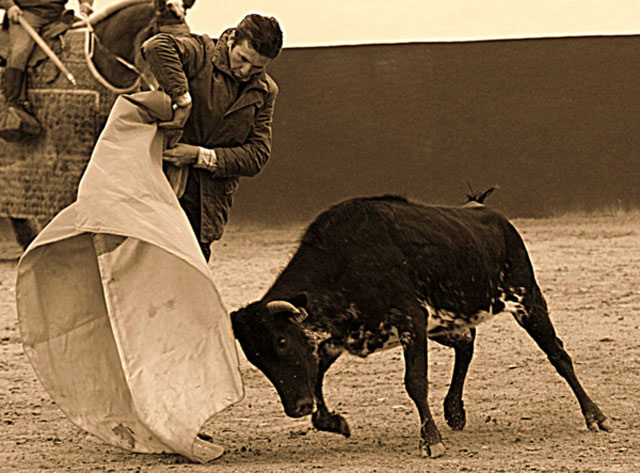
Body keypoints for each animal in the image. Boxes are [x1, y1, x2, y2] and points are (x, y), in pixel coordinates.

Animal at [231, 195, 608, 458]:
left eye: (281, 341)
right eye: (255, 359)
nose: (296, 408)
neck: (345, 261)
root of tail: (487, 211)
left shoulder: (411, 320)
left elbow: (415, 382)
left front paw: (431, 442)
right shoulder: (341, 337)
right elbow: (315, 379)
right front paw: (336, 423)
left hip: (526, 299)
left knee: (559, 355)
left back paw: (595, 416)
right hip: (447, 323)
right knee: (467, 343)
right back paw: (454, 411)